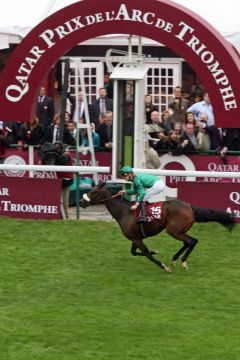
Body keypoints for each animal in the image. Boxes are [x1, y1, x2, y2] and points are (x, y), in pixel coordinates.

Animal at [79, 183, 236, 272]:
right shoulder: (135, 238)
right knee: (188, 242)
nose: (81, 202)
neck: (125, 212)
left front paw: (164, 267)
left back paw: (182, 261)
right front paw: (155, 251)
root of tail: (190, 207)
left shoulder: (137, 239)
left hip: (173, 230)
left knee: (192, 241)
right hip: (179, 230)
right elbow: (134, 253)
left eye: (92, 192)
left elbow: (147, 254)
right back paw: (175, 259)